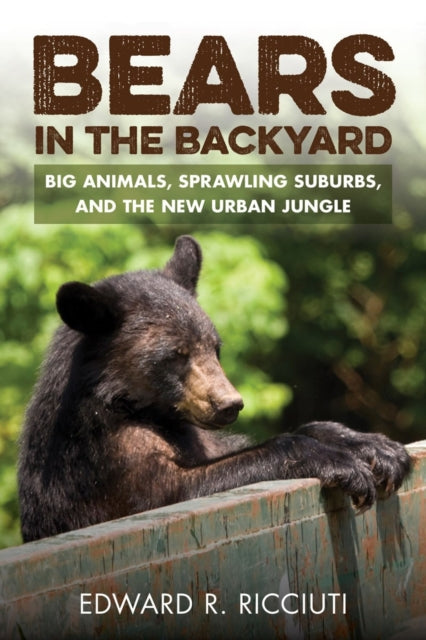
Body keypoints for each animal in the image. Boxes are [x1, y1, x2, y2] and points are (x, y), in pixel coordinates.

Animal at [18, 235, 411, 542]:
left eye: (215, 347)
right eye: (175, 355)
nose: (229, 404)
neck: (130, 405)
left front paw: (375, 447)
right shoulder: (106, 459)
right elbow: (176, 492)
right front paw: (338, 462)